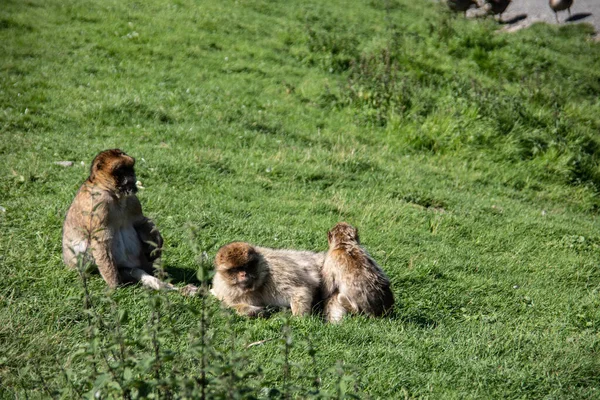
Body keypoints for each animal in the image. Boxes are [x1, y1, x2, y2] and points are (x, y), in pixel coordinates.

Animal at [62, 148, 197, 296]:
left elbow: (140, 222)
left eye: (130, 167)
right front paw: (114, 285)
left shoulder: (132, 200)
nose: (131, 176)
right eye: (121, 170)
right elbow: (100, 240)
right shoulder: (98, 205)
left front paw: (156, 242)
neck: (115, 196)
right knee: (85, 246)